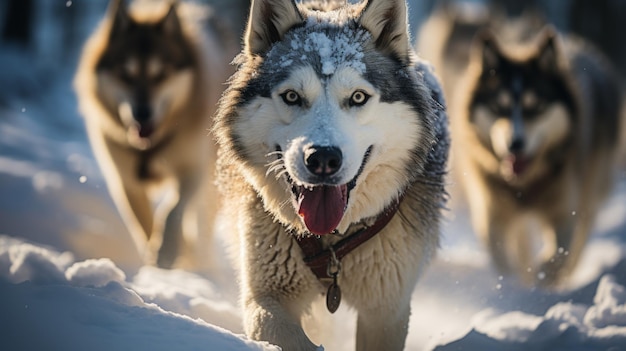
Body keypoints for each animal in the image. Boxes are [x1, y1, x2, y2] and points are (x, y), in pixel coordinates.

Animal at [74, 0, 235, 268]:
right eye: (125, 75)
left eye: (160, 75)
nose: (142, 114)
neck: (149, 147)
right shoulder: (125, 180)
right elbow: (142, 222)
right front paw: (153, 252)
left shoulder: (193, 169)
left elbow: (173, 210)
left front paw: (167, 251)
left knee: (201, 223)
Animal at [214, 0, 448, 350]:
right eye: (292, 96)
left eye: (358, 97)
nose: (323, 158)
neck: (333, 246)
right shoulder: (264, 296)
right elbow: (284, 333)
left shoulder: (387, 311)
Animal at [450, 26, 620, 288]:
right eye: (499, 107)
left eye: (536, 106)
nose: (514, 144)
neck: (525, 185)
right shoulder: (493, 213)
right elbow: (501, 256)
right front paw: (514, 285)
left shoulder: (563, 211)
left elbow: (558, 253)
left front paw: (542, 283)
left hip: (591, 189)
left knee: (582, 234)